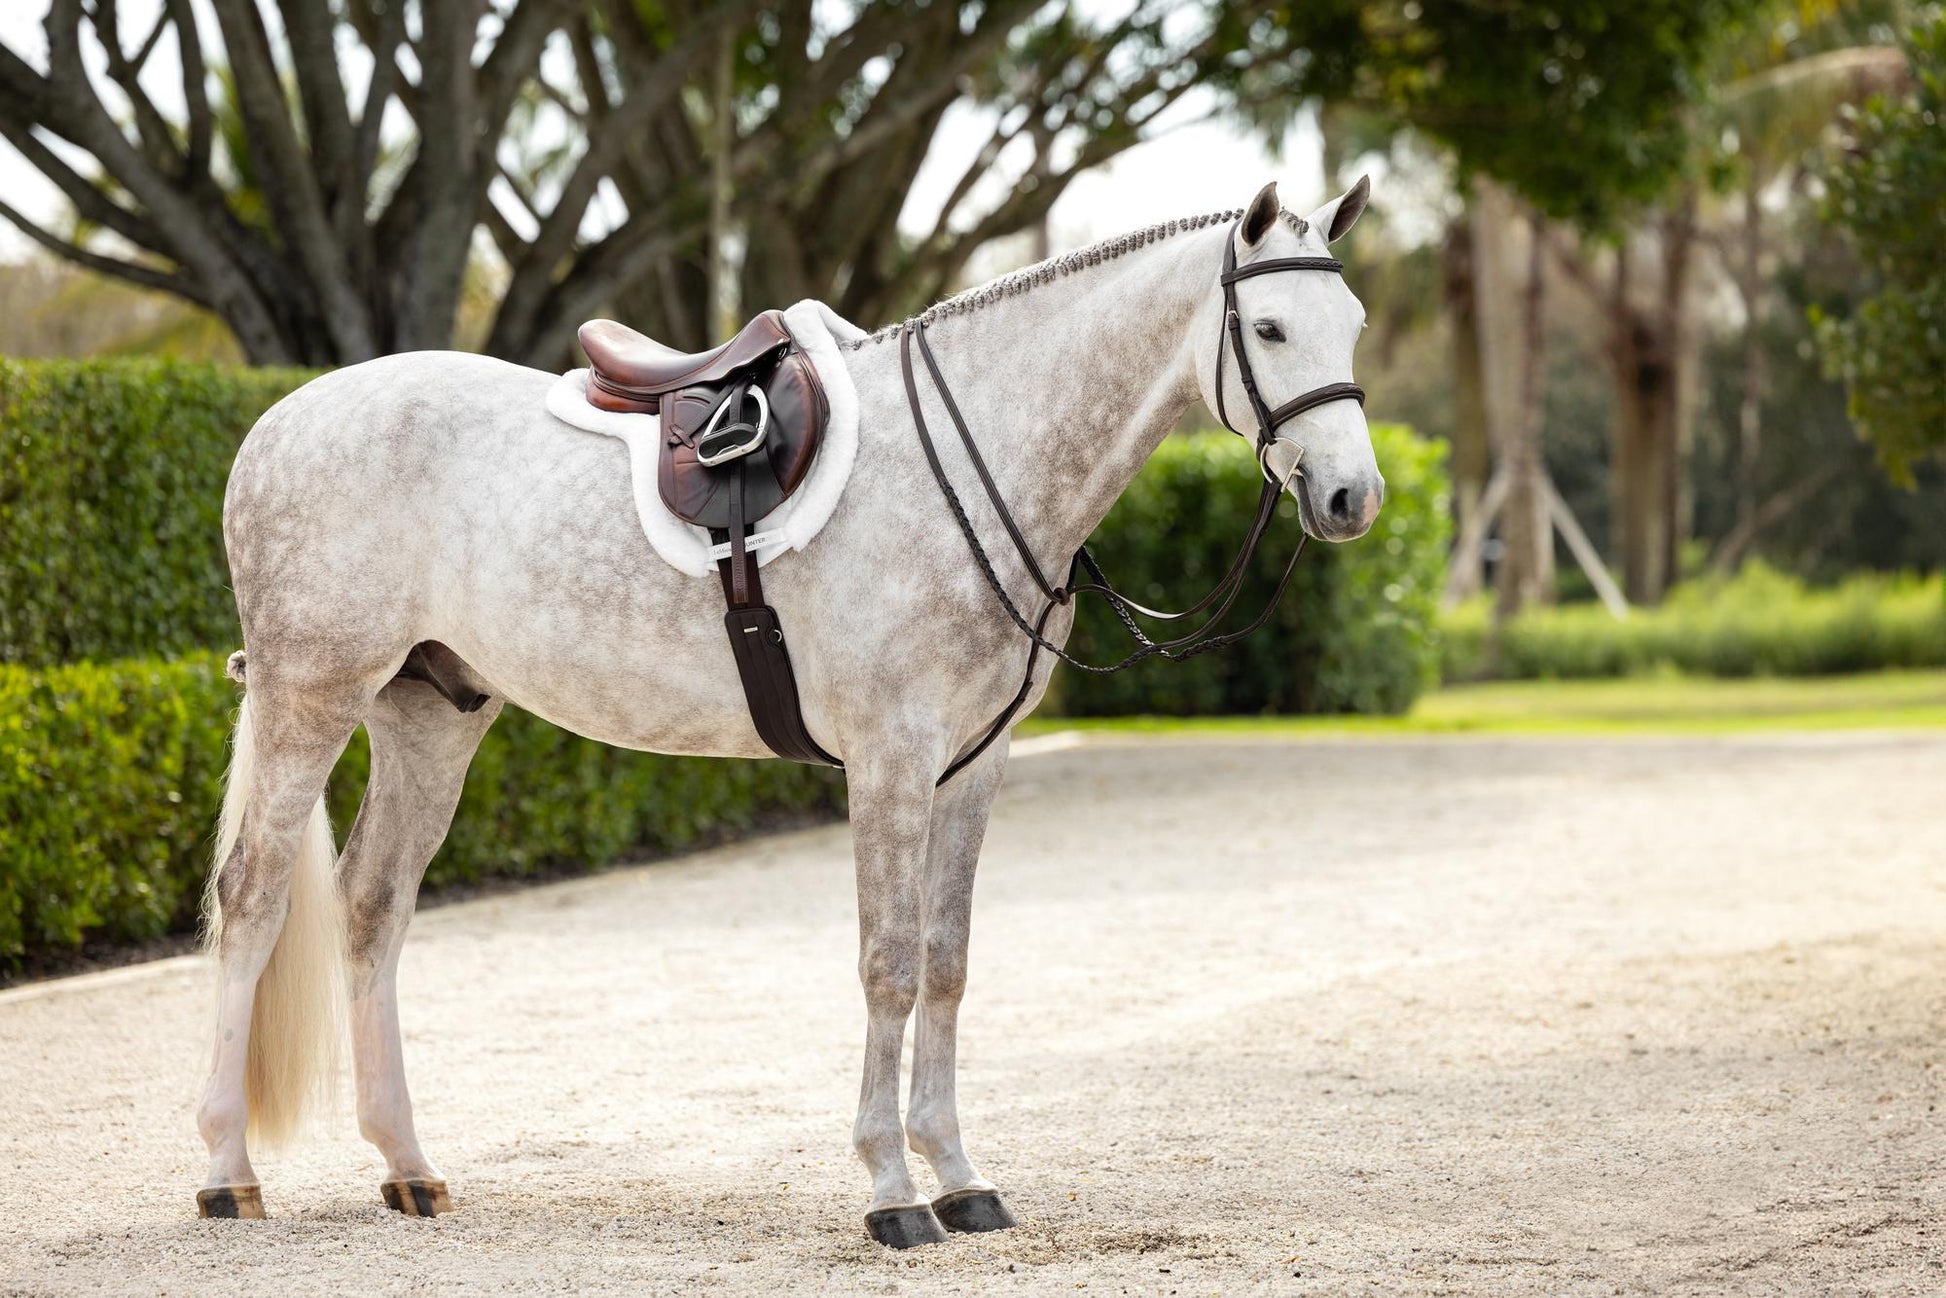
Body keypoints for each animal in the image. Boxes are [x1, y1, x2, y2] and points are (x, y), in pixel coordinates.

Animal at [196, 178, 1381, 1246]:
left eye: (1353, 324)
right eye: (1268, 326)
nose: (1352, 498)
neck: (973, 459)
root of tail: (278, 420)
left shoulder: (973, 764)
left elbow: (947, 962)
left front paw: (960, 1177)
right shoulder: (891, 760)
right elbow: (888, 964)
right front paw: (892, 1190)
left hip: (431, 711)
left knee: (371, 904)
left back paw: (407, 1166)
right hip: (314, 693)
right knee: (253, 897)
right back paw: (226, 1173)